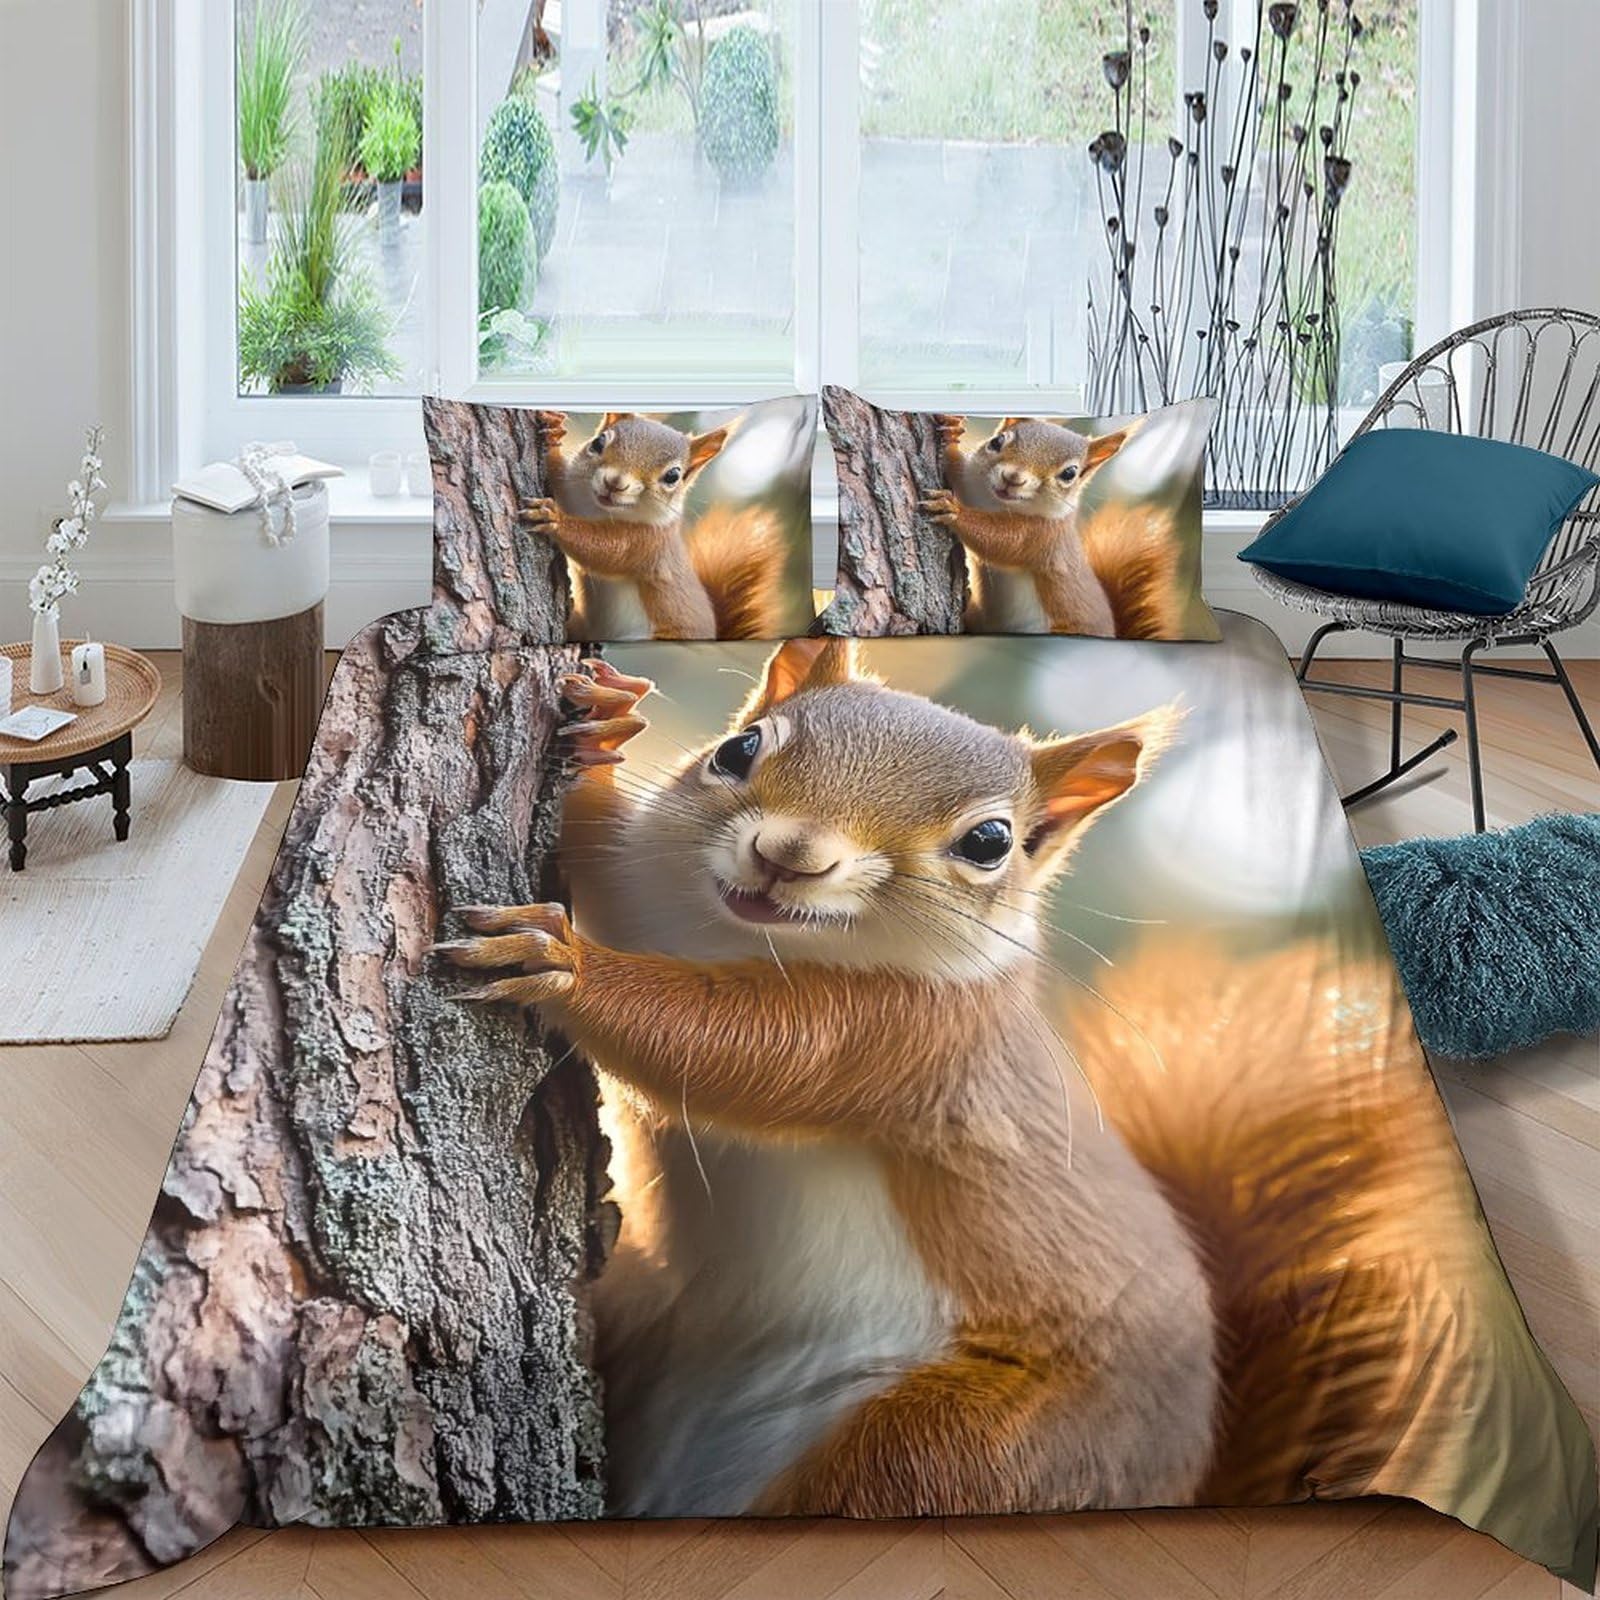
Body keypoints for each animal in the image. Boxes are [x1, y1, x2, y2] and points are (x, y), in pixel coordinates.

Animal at [437, 638, 1221, 1517]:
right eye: (738, 748)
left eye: (990, 841)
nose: (787, 857)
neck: (741, 936)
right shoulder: (648, 888)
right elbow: (604, 863)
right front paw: (605, 730)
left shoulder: (911, 1036)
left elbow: (733, 1051)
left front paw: (564, 966)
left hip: (968, 1452)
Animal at [521, 410, 792, 641]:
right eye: (598, 442)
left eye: (673, 476)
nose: (614, 483)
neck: (601, 511)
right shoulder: (576, 494)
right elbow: (560, 480)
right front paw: (553, 433)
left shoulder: (650, 543)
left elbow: (606, 551)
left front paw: (554, 518)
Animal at [921, 414, 1186, 639]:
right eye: (997, 441)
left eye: (1069, 473)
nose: (1012, 478)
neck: (997, 504)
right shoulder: (974, 484)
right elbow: (958, 471)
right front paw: (951, 432)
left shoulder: (1044, 536)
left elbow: (1003, 542)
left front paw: (953, 510)